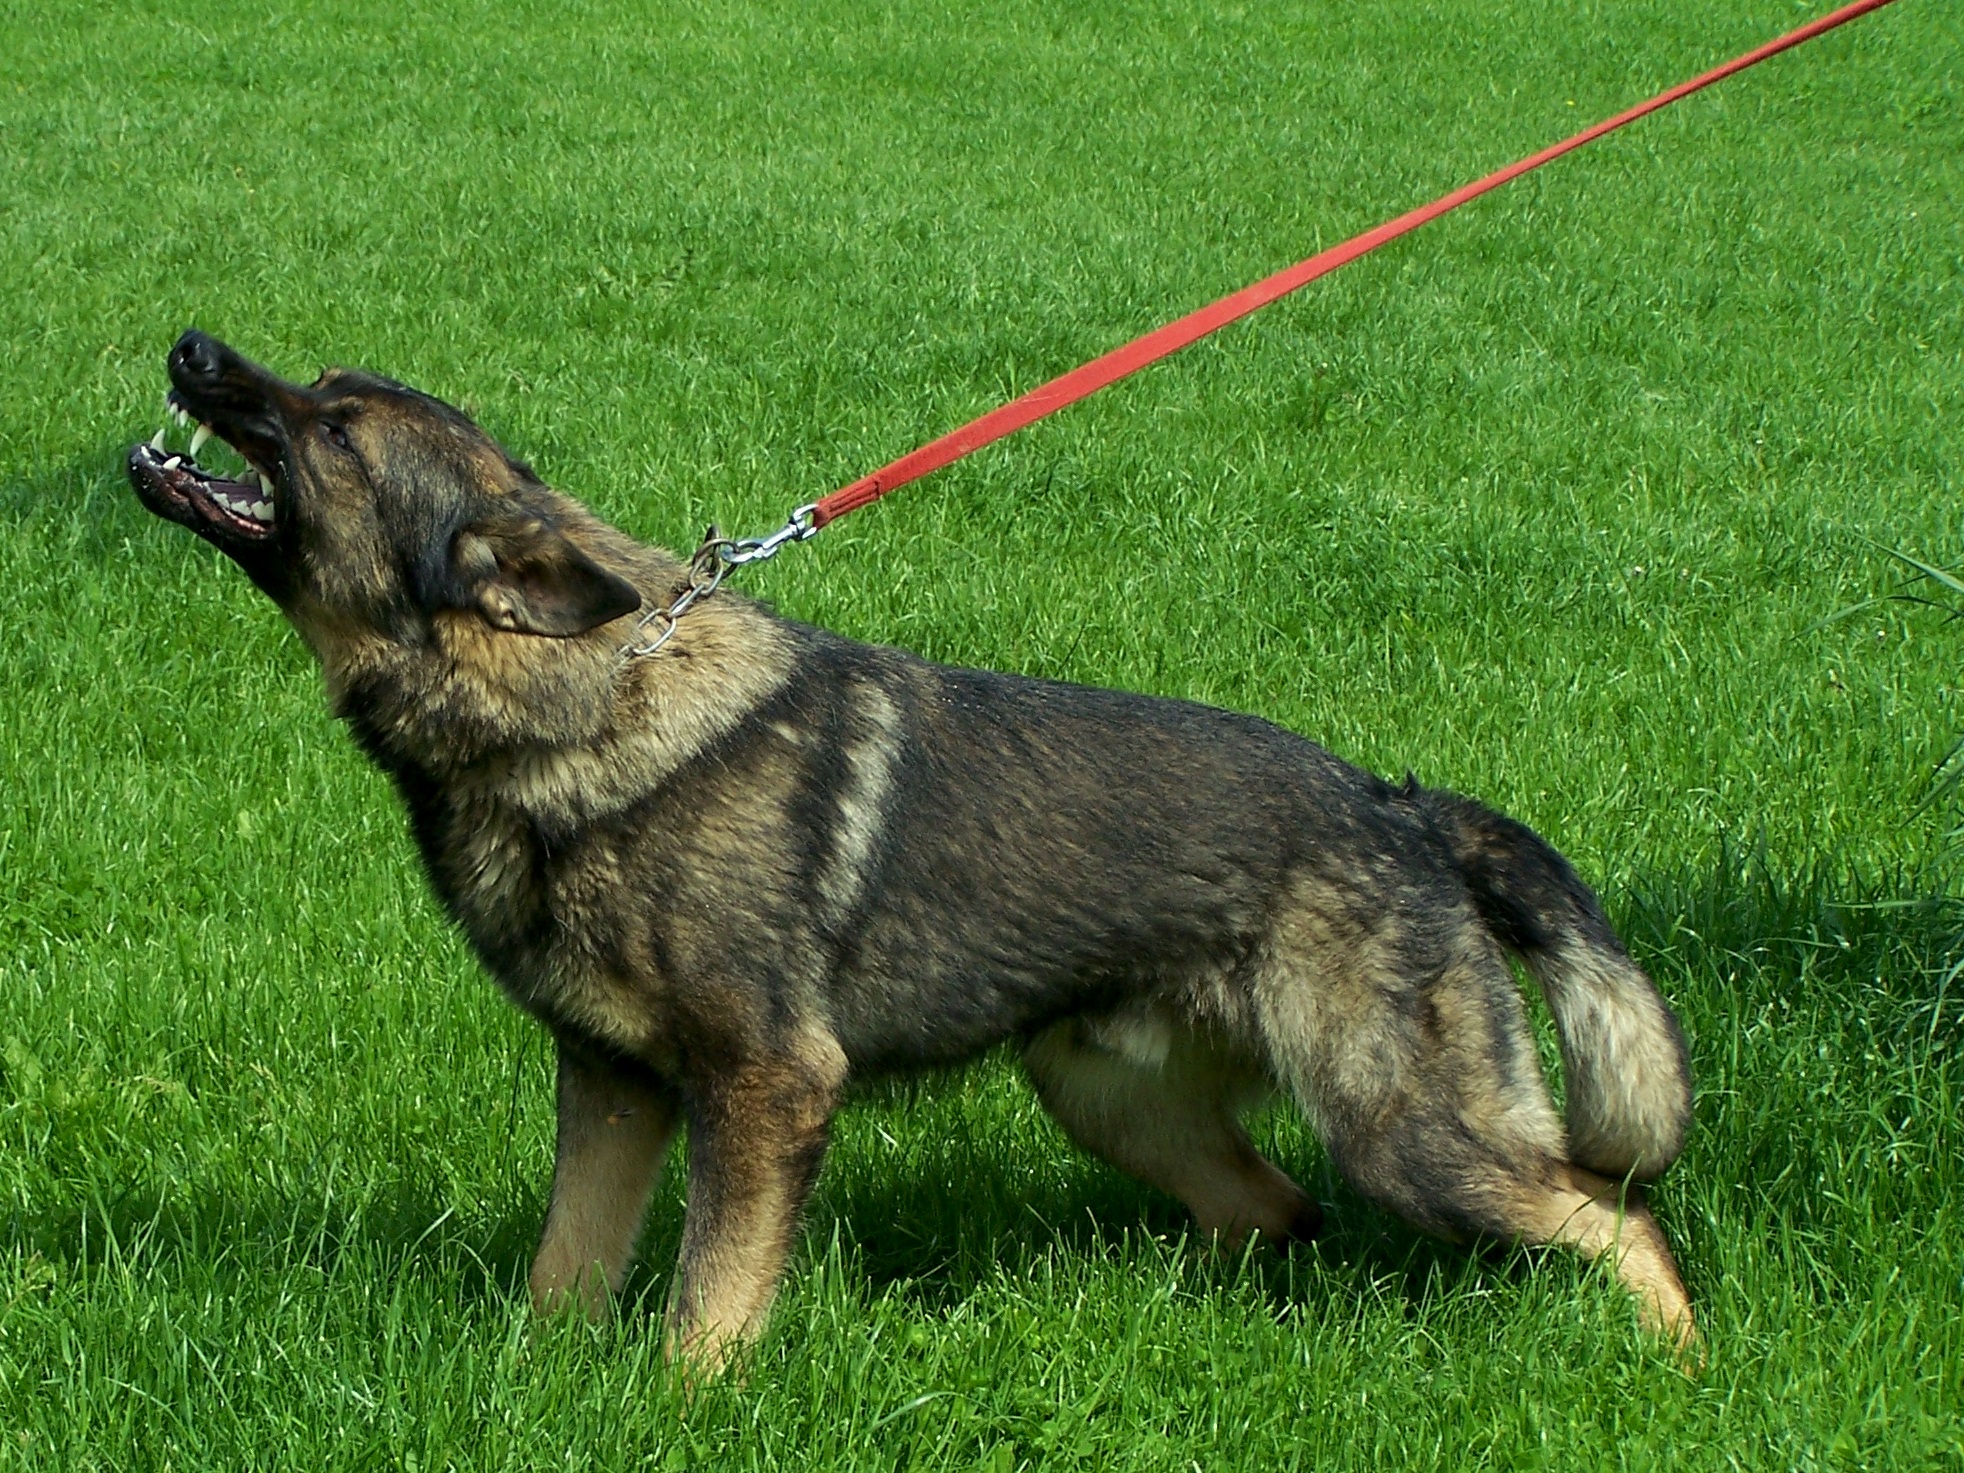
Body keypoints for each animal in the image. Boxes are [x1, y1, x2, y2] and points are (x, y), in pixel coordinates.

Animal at [128, 329, 1696, 1367]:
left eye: (336, 430)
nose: (195, 345)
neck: (580, 698)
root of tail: (1400, 804)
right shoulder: (616, 1090)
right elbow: (564, 1275)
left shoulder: (764, 1089)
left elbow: (705, 1308)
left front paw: (682, 1416)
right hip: (1104, 1095)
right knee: (1272, 1210)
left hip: (1407, 1133)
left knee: (1614, 1219)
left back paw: (1674, 1365)